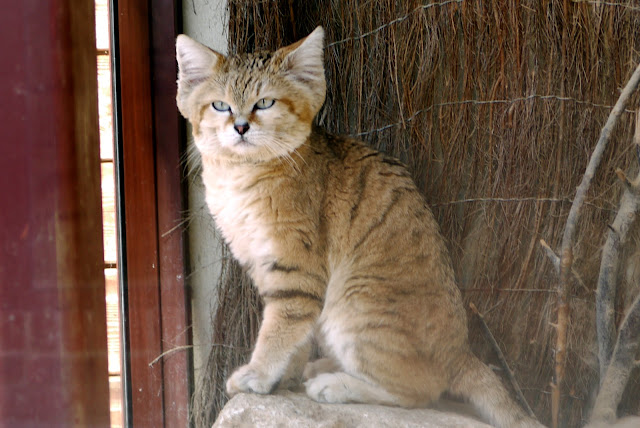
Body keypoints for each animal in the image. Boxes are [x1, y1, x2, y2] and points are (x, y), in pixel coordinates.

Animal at [176, 26, 544, 428]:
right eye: (220, 106)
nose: (240, 126)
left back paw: (336, 385)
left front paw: (258, 374)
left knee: (418, 393)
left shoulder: (295, 268)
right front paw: (283, 378)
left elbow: (279, 327)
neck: (239, 174)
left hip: (354, 307)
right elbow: (296, 336)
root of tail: (460, 352)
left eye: (265, 103)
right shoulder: (263, 264)